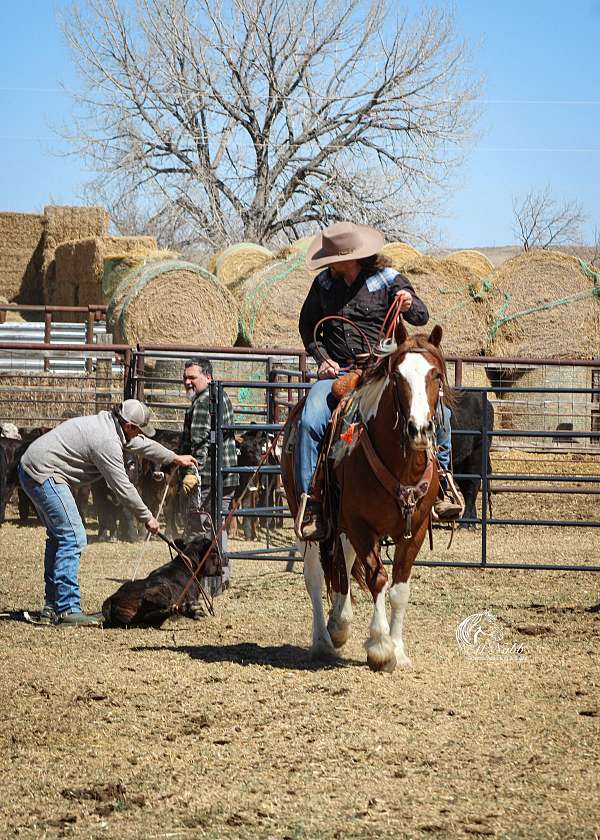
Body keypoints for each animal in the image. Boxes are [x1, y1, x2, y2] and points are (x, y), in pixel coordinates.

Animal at [281, 320, 450, 672]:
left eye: (437, 375)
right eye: (397, 376)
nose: (419, 429)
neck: (401, 466)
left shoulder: (415, 529)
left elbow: (399, 588)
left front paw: (399, 650)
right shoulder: (361, 525)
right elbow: (378, 579)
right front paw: (381, 646)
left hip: (342, 524)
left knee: (343, 564)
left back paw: (339, 622)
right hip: (306, 518)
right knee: (314, 575)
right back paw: (323, 639)